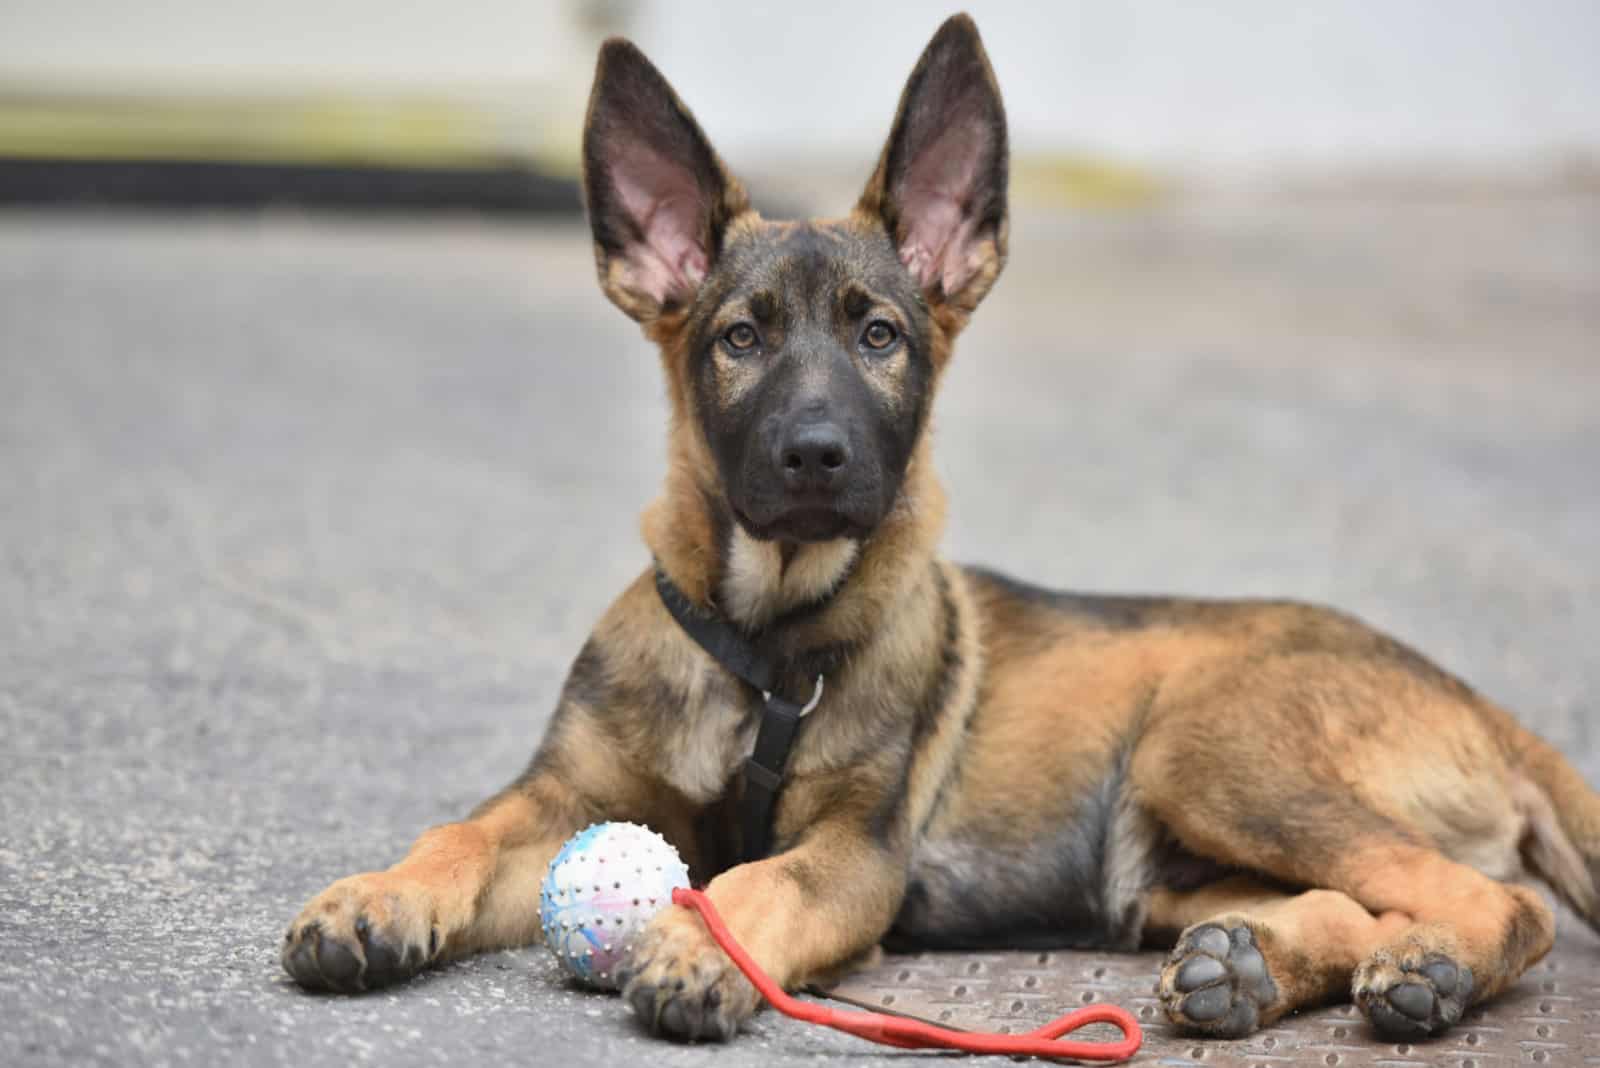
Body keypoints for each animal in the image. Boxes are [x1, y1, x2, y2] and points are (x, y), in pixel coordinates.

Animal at [284, 14, 1600, 1042]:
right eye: (739, 338)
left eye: (881, 337)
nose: (818, 455)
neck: (761, 646)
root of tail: (1487, 710)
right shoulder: (558, 798)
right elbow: (460, 830)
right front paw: (376, 898)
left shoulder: (858, 856)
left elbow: (762, 882)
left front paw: (706, 949)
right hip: (1164, 866)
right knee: (1346, 901)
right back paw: (1250, 970)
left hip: (1209, 751)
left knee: (1497, 902)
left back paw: (1429, 972)